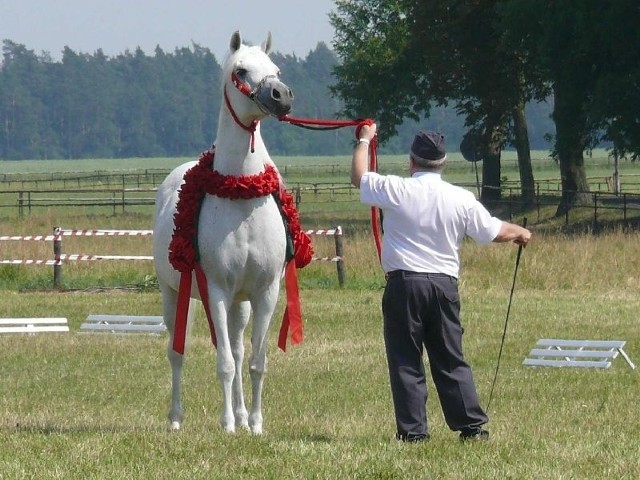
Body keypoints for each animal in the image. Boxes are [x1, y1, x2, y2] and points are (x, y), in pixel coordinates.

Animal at [152, 31, 296, 436]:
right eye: (241, 70)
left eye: (277, 69)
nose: (281, 96)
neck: (241, 193)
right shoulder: (214, 289)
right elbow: (225, 364)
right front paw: (228, 424)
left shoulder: (265, 293)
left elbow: (255, 362)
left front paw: (256, 424)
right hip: (174, 296)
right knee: (177, 354)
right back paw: (176, 418)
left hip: (239, 303)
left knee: (238, 346)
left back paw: (244, 415)